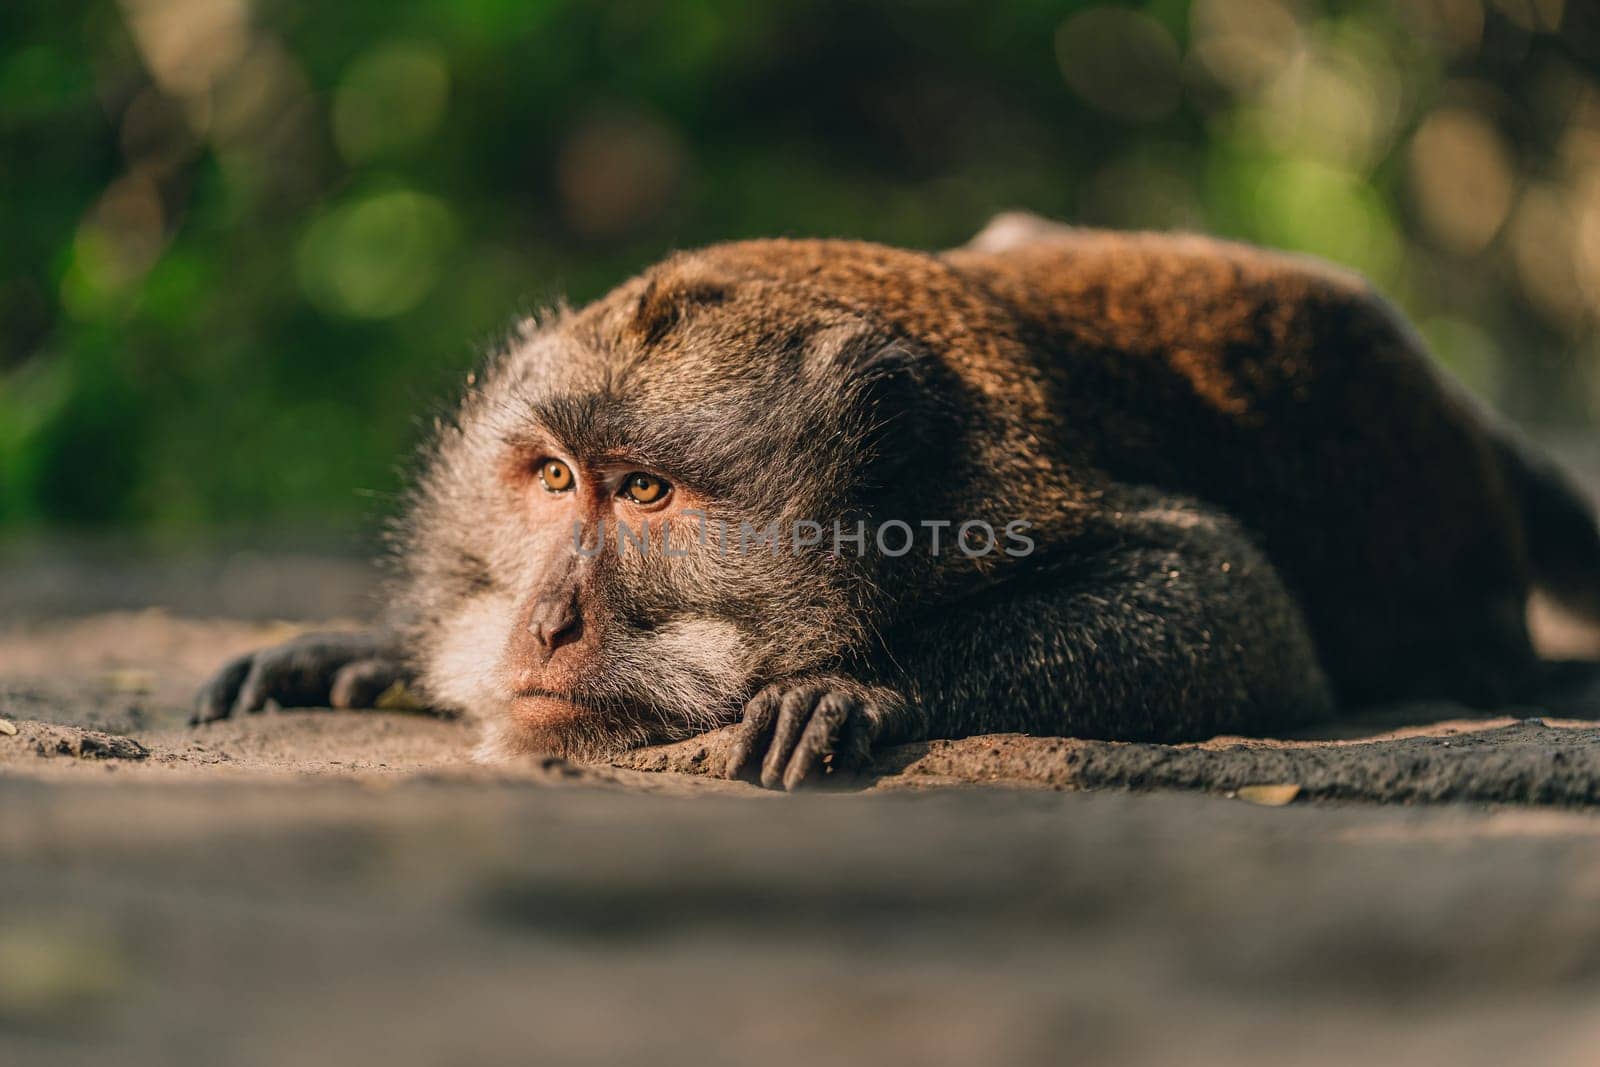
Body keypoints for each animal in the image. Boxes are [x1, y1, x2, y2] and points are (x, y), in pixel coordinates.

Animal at [190, 212, 1600, 790]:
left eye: (643, 491)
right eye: (552, 478)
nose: (545, 622)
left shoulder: (997, 483)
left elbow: (1234, 605)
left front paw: (855, 686)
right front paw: (381, 648)